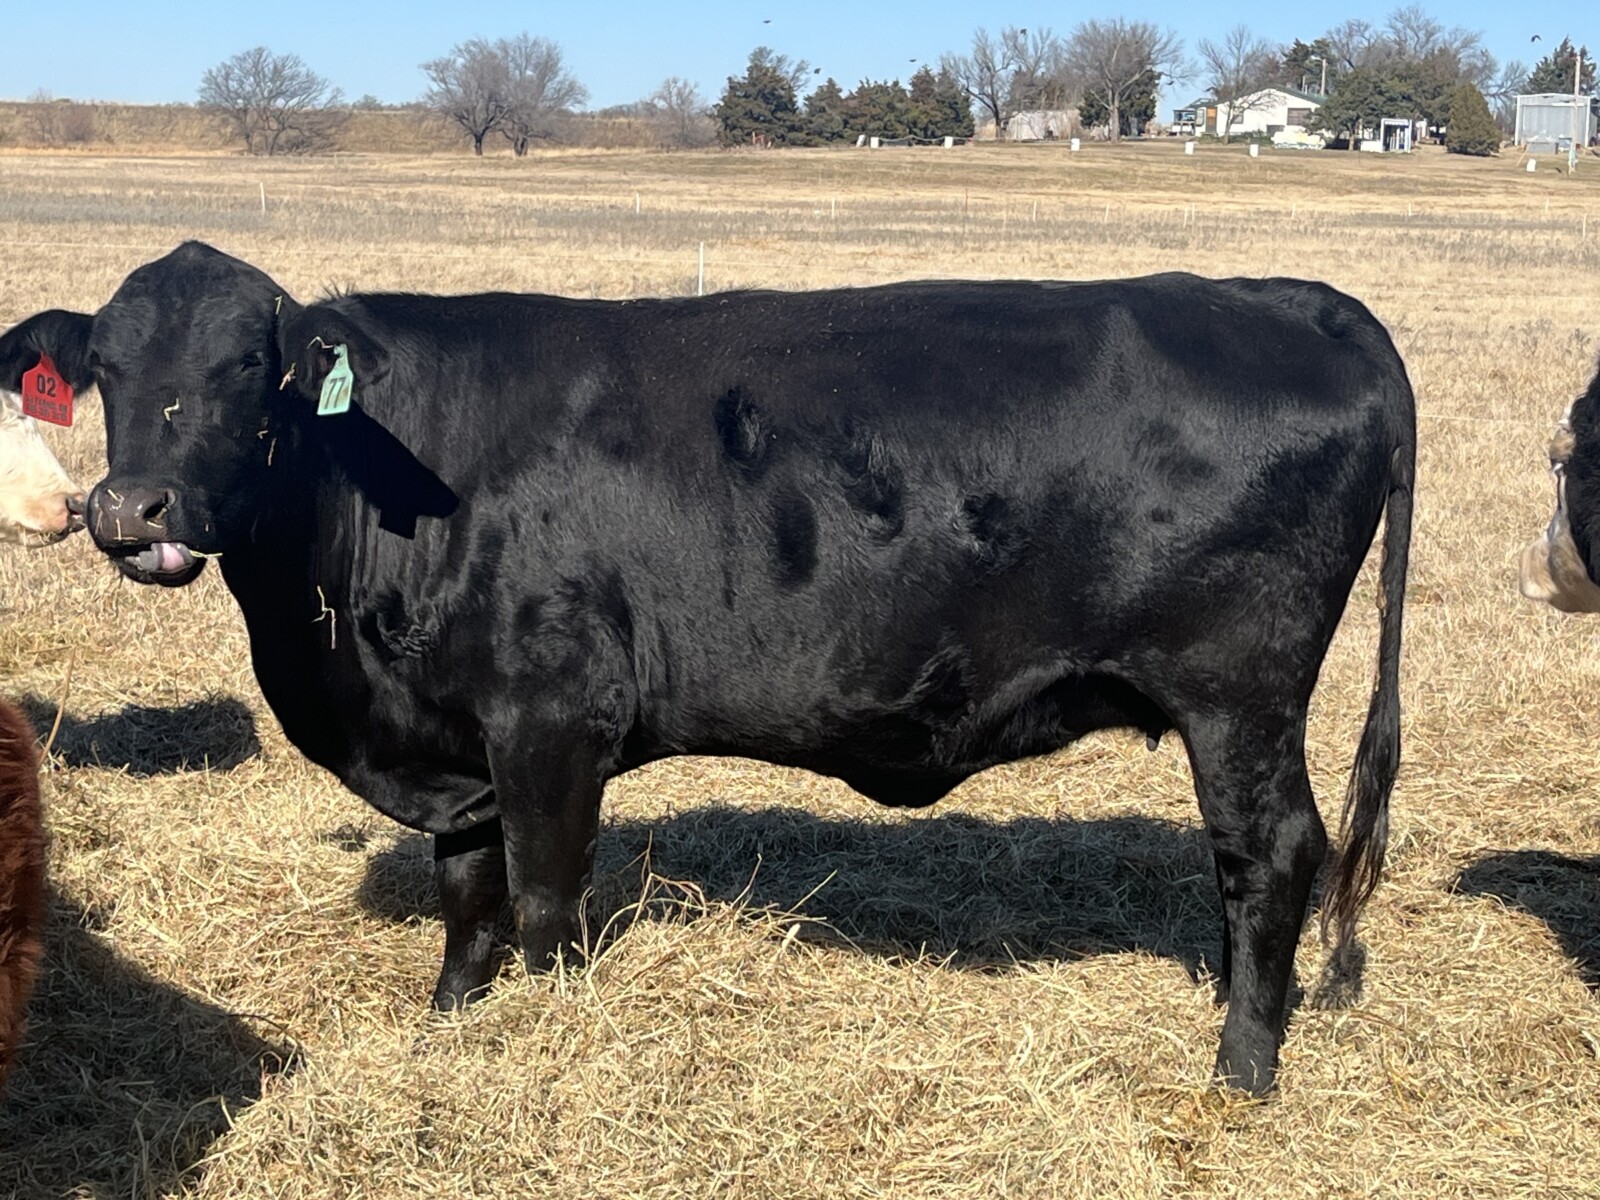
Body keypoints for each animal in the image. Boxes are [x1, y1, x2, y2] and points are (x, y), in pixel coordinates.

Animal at [0, 241, 1414, 1094]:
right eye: (106, 369)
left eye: (252, 368)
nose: (129, 510)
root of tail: (1287, 297)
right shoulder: (457, 742)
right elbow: (466, 902)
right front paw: (455, 1027)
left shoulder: (553, 720)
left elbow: (543, 905)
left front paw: (550, 1041)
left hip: (1238, 695)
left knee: (1272, 853)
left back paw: (1241, 1063)